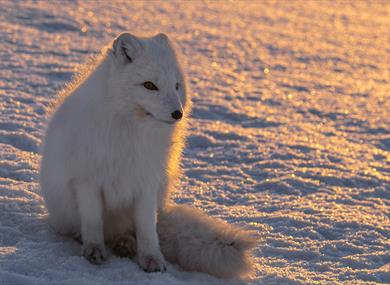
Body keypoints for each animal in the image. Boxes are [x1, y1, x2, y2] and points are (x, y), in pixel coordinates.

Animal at [38, 32, 254, 276]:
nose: (178, 114)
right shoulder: (87, 180)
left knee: (133, 231)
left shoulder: (147, 182)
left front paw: (152, 259)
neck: (131, 132)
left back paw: (125, 243)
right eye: (149, 85)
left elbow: (147, 229)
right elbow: (92, 221)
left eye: (176, 86)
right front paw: (93, 250)